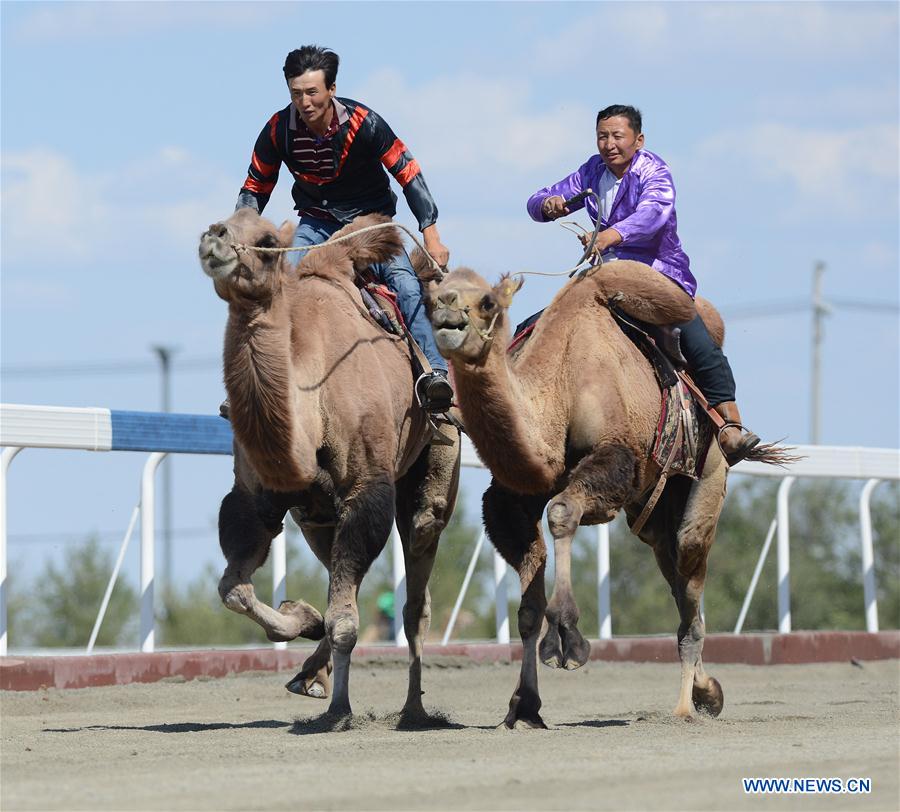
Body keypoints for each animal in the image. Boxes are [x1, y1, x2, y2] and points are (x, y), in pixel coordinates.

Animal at [200, 208, 460, 716]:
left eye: (266, 242)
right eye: (224, 219)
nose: (213, 239)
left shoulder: (367, 489)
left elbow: (345, 619)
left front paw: (339, 711)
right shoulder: (254, 498)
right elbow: (234, 589)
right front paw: (301, 618)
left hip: (436, 465)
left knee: (415, 588)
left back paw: (414, 710)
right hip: (316, 519)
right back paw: (309, 674)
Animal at [424, 262, 780, 728]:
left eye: (486, 301)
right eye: (432, 296)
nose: (446, 312)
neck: (559, 388)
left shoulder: (617, 459)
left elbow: (561, 513)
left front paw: (567, 639)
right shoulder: (513, 496)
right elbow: (527, 608)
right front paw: (524, 706)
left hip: (709, 472)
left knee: (690, 569)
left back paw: (686, 706)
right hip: (653, 518)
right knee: (675, 578)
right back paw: (707, 692)